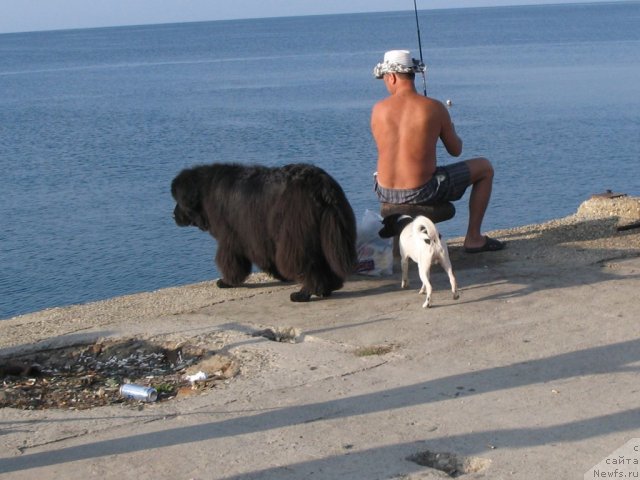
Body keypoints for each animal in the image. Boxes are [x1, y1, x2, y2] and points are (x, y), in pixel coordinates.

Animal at [170, 163, 358, 302]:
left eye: (179, 201)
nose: (173, 215)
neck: (206, 191)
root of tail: (321, 185)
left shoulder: (231, 236)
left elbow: (230, 259)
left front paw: (227, 282)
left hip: (296, 233)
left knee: (305, 263)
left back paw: (303, 294)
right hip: (330, 232)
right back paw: (327, 288)